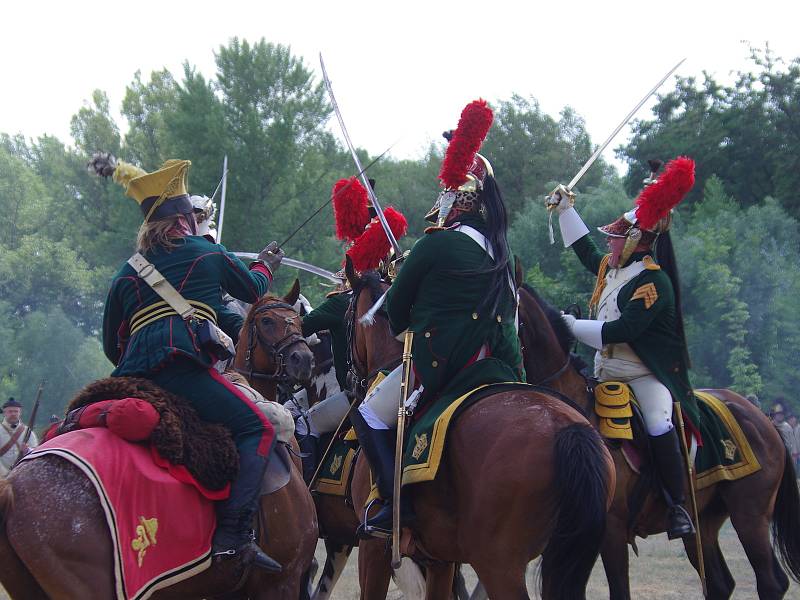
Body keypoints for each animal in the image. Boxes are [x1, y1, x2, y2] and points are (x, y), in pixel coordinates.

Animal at [512, 282, 800, 600]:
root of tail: (763, 418)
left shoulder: (611, 531)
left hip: (750, 515)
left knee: (771, 582)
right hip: (704, 522)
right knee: (719, 583)